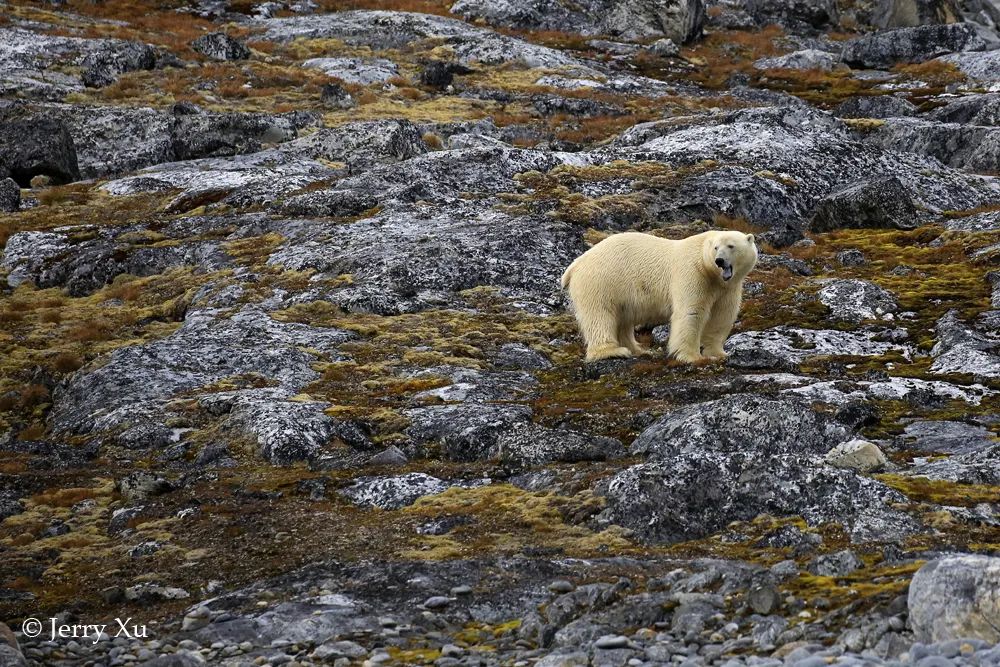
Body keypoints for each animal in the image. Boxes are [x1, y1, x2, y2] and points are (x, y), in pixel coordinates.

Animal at [564, 231, 756, 366]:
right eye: (716, 247)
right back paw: (613, 351)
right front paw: (692, 357)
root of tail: (576, 263)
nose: (719, 261)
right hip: (601, 281)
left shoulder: (728, 288)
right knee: (600, 314)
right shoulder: (693, 273)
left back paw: (639, 350)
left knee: (623, 319)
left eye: (731, 246)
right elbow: (691, 312)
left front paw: (718, 353)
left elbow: (722, 316)